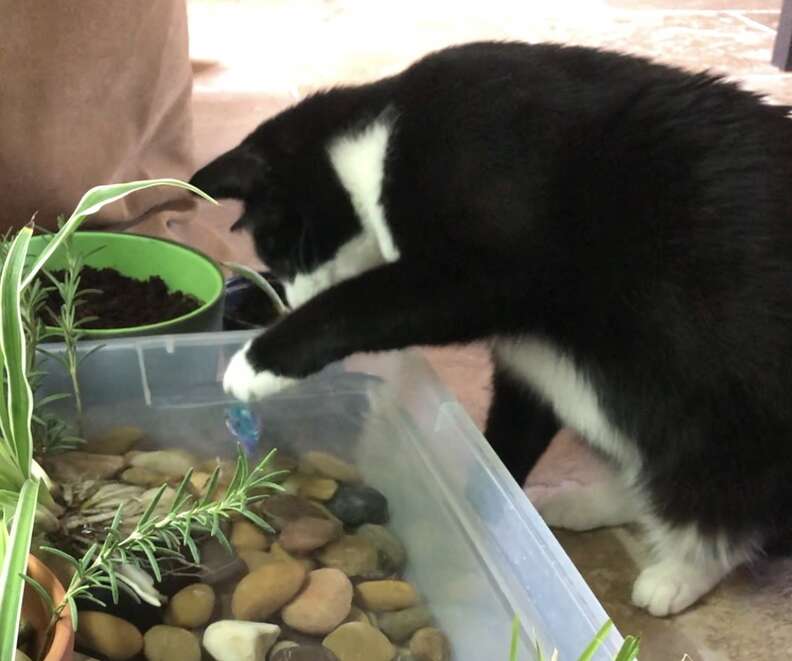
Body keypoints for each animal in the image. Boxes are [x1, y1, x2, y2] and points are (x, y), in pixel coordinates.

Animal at [190, 41, 792, 616]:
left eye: (281, 247)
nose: (291, 301)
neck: (379, 144)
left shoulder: (484, 271)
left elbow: (359, 302)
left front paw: (256, 362)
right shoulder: (533, 363)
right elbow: (508, 440)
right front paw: (492, 508)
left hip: (713, 413)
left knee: (721, 503)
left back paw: (678, 573)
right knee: (641, 464)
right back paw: (588, 503)